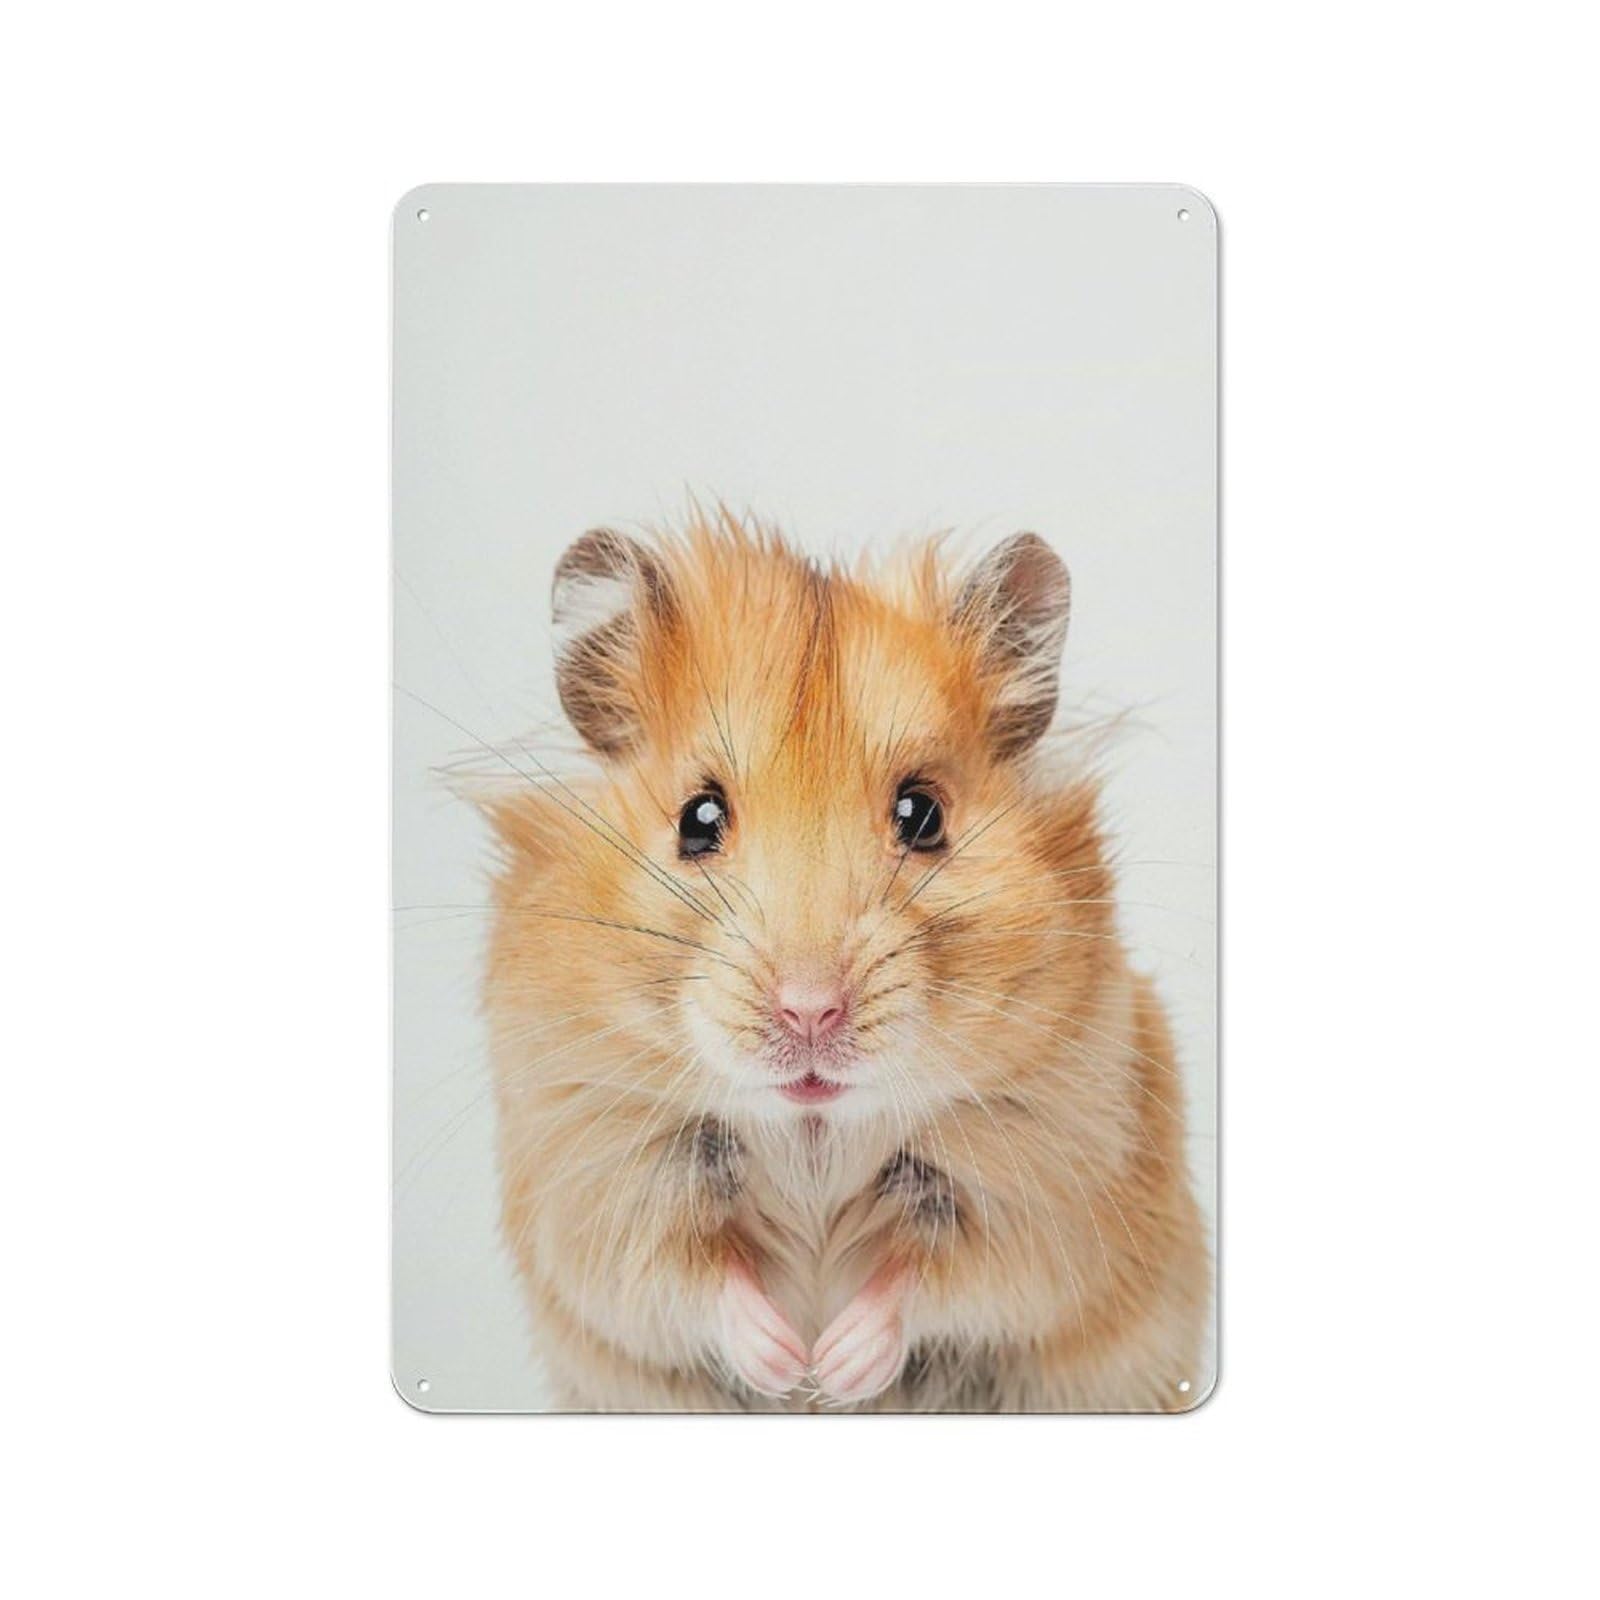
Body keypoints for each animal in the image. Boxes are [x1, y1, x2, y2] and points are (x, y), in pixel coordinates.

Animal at [482, 511, 1209, 1411]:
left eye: (923, 814)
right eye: (697, 818)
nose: (810, 1011)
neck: (814, 1131)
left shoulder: (1054, 1191)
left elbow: (937, 1278)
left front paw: (834, 1366)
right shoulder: (597, 1185)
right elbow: (686, 1282)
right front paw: (791, 1363)